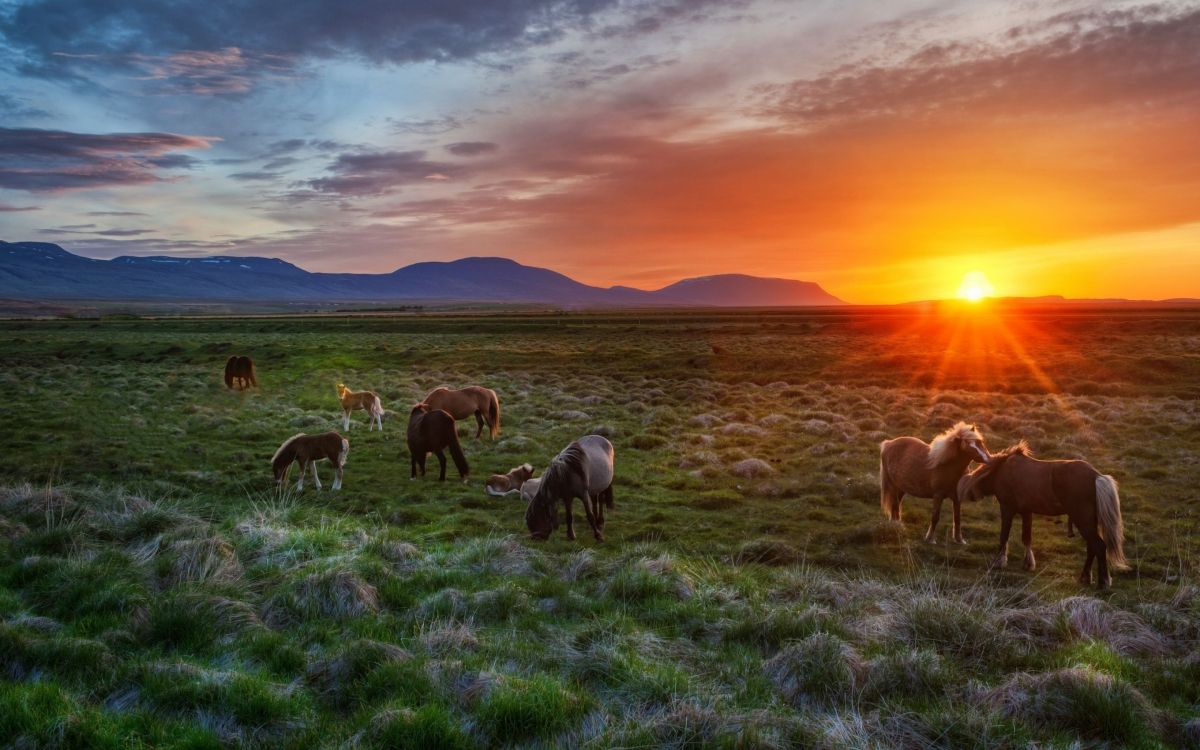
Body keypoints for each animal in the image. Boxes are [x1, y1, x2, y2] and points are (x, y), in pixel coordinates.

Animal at [955, 439, 1123, 590]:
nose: (968, 494)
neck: (1001, 470)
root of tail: (1096, 476)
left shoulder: (1007, 508)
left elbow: (1004, 536)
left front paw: (999, 562)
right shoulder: (1026, 512)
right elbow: (1026, 538)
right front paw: (1028, 563)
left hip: (1083, 519)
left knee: (1099, 546)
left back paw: (1103, 582)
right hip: (1088, 521)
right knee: (1092, 547)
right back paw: (1085, 577)